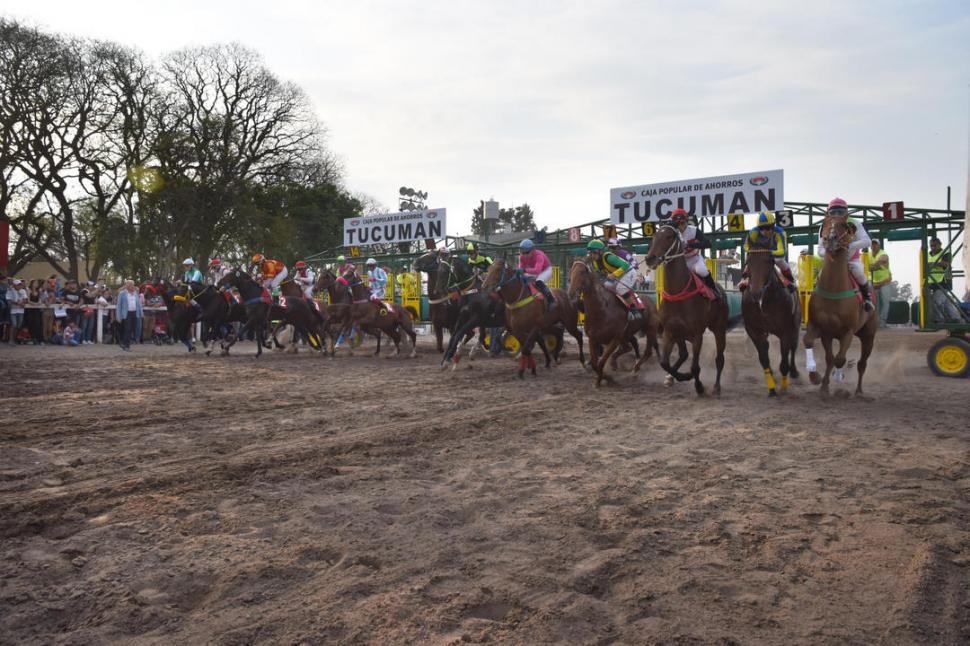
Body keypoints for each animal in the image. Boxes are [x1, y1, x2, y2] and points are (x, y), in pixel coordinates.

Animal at [564, 260, 660, 388]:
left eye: (582, 272)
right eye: (571, 271)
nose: (571, 293)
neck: (601, 310)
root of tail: (651, 301)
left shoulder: (614, 339)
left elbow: (601, 362)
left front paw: (604, 379)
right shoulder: (593, 339)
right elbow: (594, 363)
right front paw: (603, 378)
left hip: (650, 329)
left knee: (647, 352)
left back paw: (634, 370)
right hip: (627, 334)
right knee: (629, 346)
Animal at [644, 225, 728, 398]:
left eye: (669, 236)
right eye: (653, 236)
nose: (650, 258)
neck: (678, 292)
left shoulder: (697, 335)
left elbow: (695, 367)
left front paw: (699, 387)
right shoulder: (669, 331)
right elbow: (664, 363)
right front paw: (678, 376)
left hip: (719, 329)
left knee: (719, 358)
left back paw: (716, 387)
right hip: (680, 333)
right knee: (683, 354)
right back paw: (670, 378)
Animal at [740, 248, 800, 398]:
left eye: (769, 261)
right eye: (748, 261)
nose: (756, 292)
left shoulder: (786, 329)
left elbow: (784, 359)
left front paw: (784, 387)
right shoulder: (753, 329)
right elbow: (763, 358)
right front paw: (771, 387)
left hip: (795, 325)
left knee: (794, 346)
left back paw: (794, 371)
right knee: (767, 346)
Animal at [800, 218, 876, 398]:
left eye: (843, 225)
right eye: (826, 224)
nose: (831, 239)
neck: (833, 290)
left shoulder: (848, 331)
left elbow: (840, 359)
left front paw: (838, 376)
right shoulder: (821, 329)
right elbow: (812, 344)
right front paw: (816, 377)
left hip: (868, 335)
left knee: (861, 363)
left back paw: (858, 391)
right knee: (832, 358)